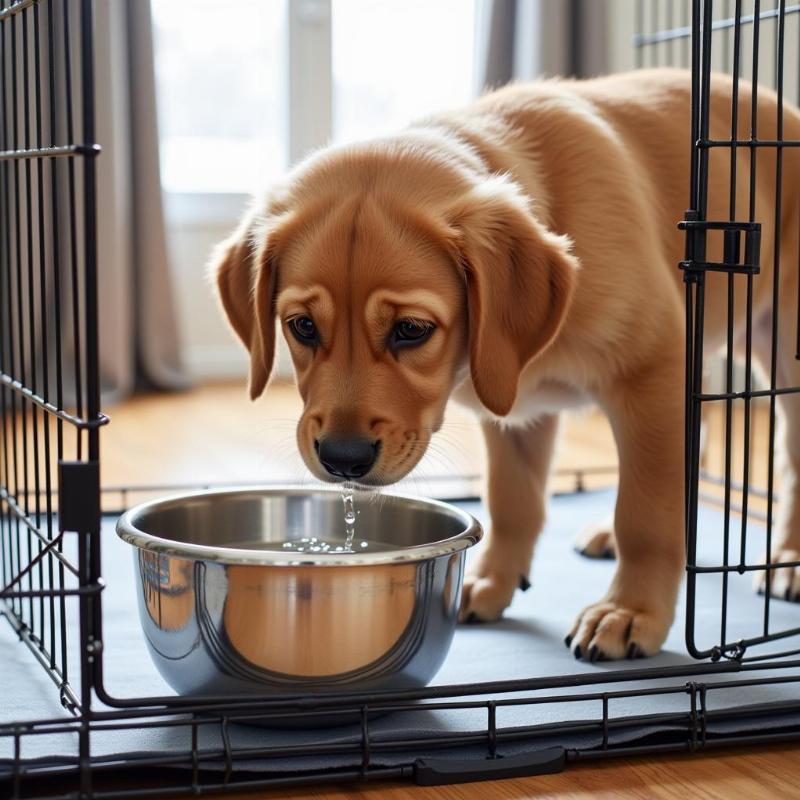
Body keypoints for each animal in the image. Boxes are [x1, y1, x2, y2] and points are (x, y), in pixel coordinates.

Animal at [211, 69, 800, 660]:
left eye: (411, 330)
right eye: (302, 326)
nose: (342, 460)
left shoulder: (651, 371)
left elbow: (646, 513)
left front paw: (630, 611)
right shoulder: (513, 406)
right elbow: (513, 501)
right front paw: (492, 581)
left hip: (779, 355)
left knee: (784, 461)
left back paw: (787, 561)